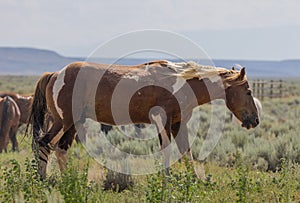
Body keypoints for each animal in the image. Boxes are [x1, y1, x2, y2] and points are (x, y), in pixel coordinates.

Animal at [27, 59, 258, 178]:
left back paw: (68, 181)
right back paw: (43, 181)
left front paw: (194, 182)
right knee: (44, 144)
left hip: (73, 124)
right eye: (248, 91)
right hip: (62, 122)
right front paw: (166, 183)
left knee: (60, 149)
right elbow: (167, 152)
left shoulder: (178, 124)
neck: (180, 81)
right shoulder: (162, 121)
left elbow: (186, 153)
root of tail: (55, 74)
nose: (255, 120)